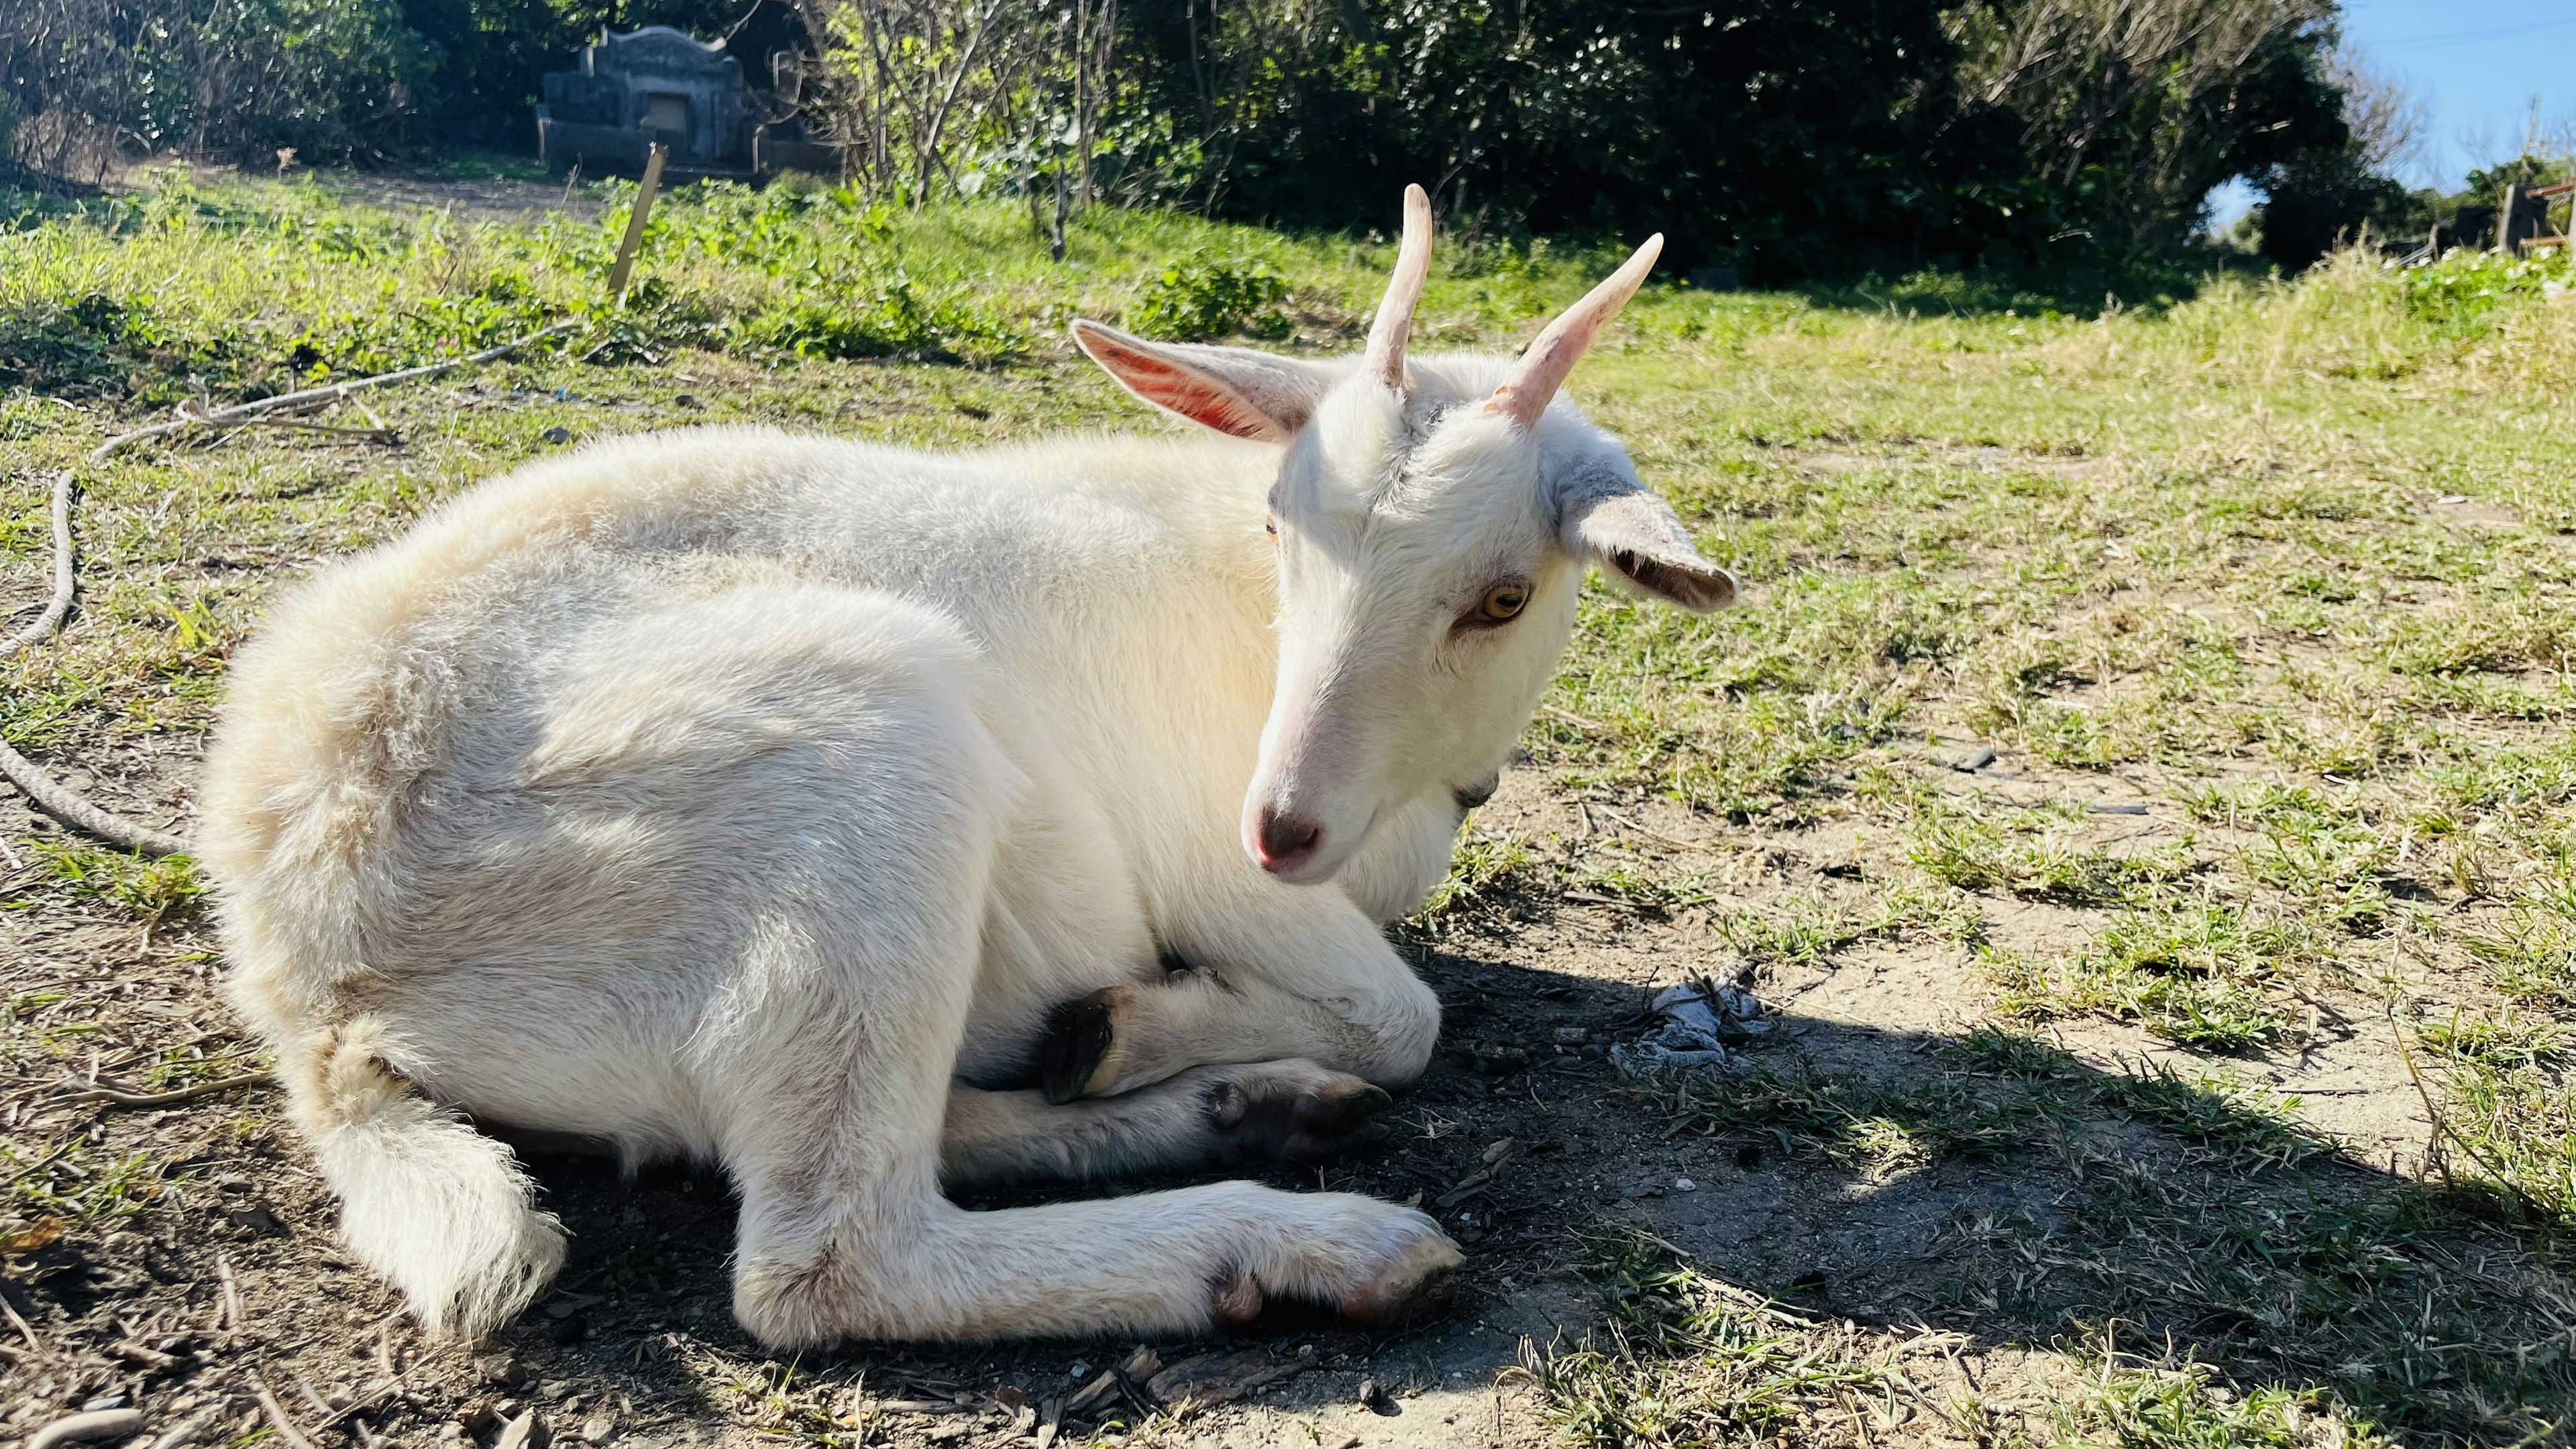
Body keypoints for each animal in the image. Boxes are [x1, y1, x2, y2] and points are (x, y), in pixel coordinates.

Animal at [195, 189, 1731, 1340]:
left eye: (1502, 595)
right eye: (1282, 528)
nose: (1283, 823)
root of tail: (306, 977)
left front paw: (1145, 1037)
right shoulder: (1207, 861)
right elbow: (1408, 1016)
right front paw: (1174, 1023)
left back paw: (1237, 1102)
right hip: (869, 751)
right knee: (830, 1262)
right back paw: (1305, 1238)